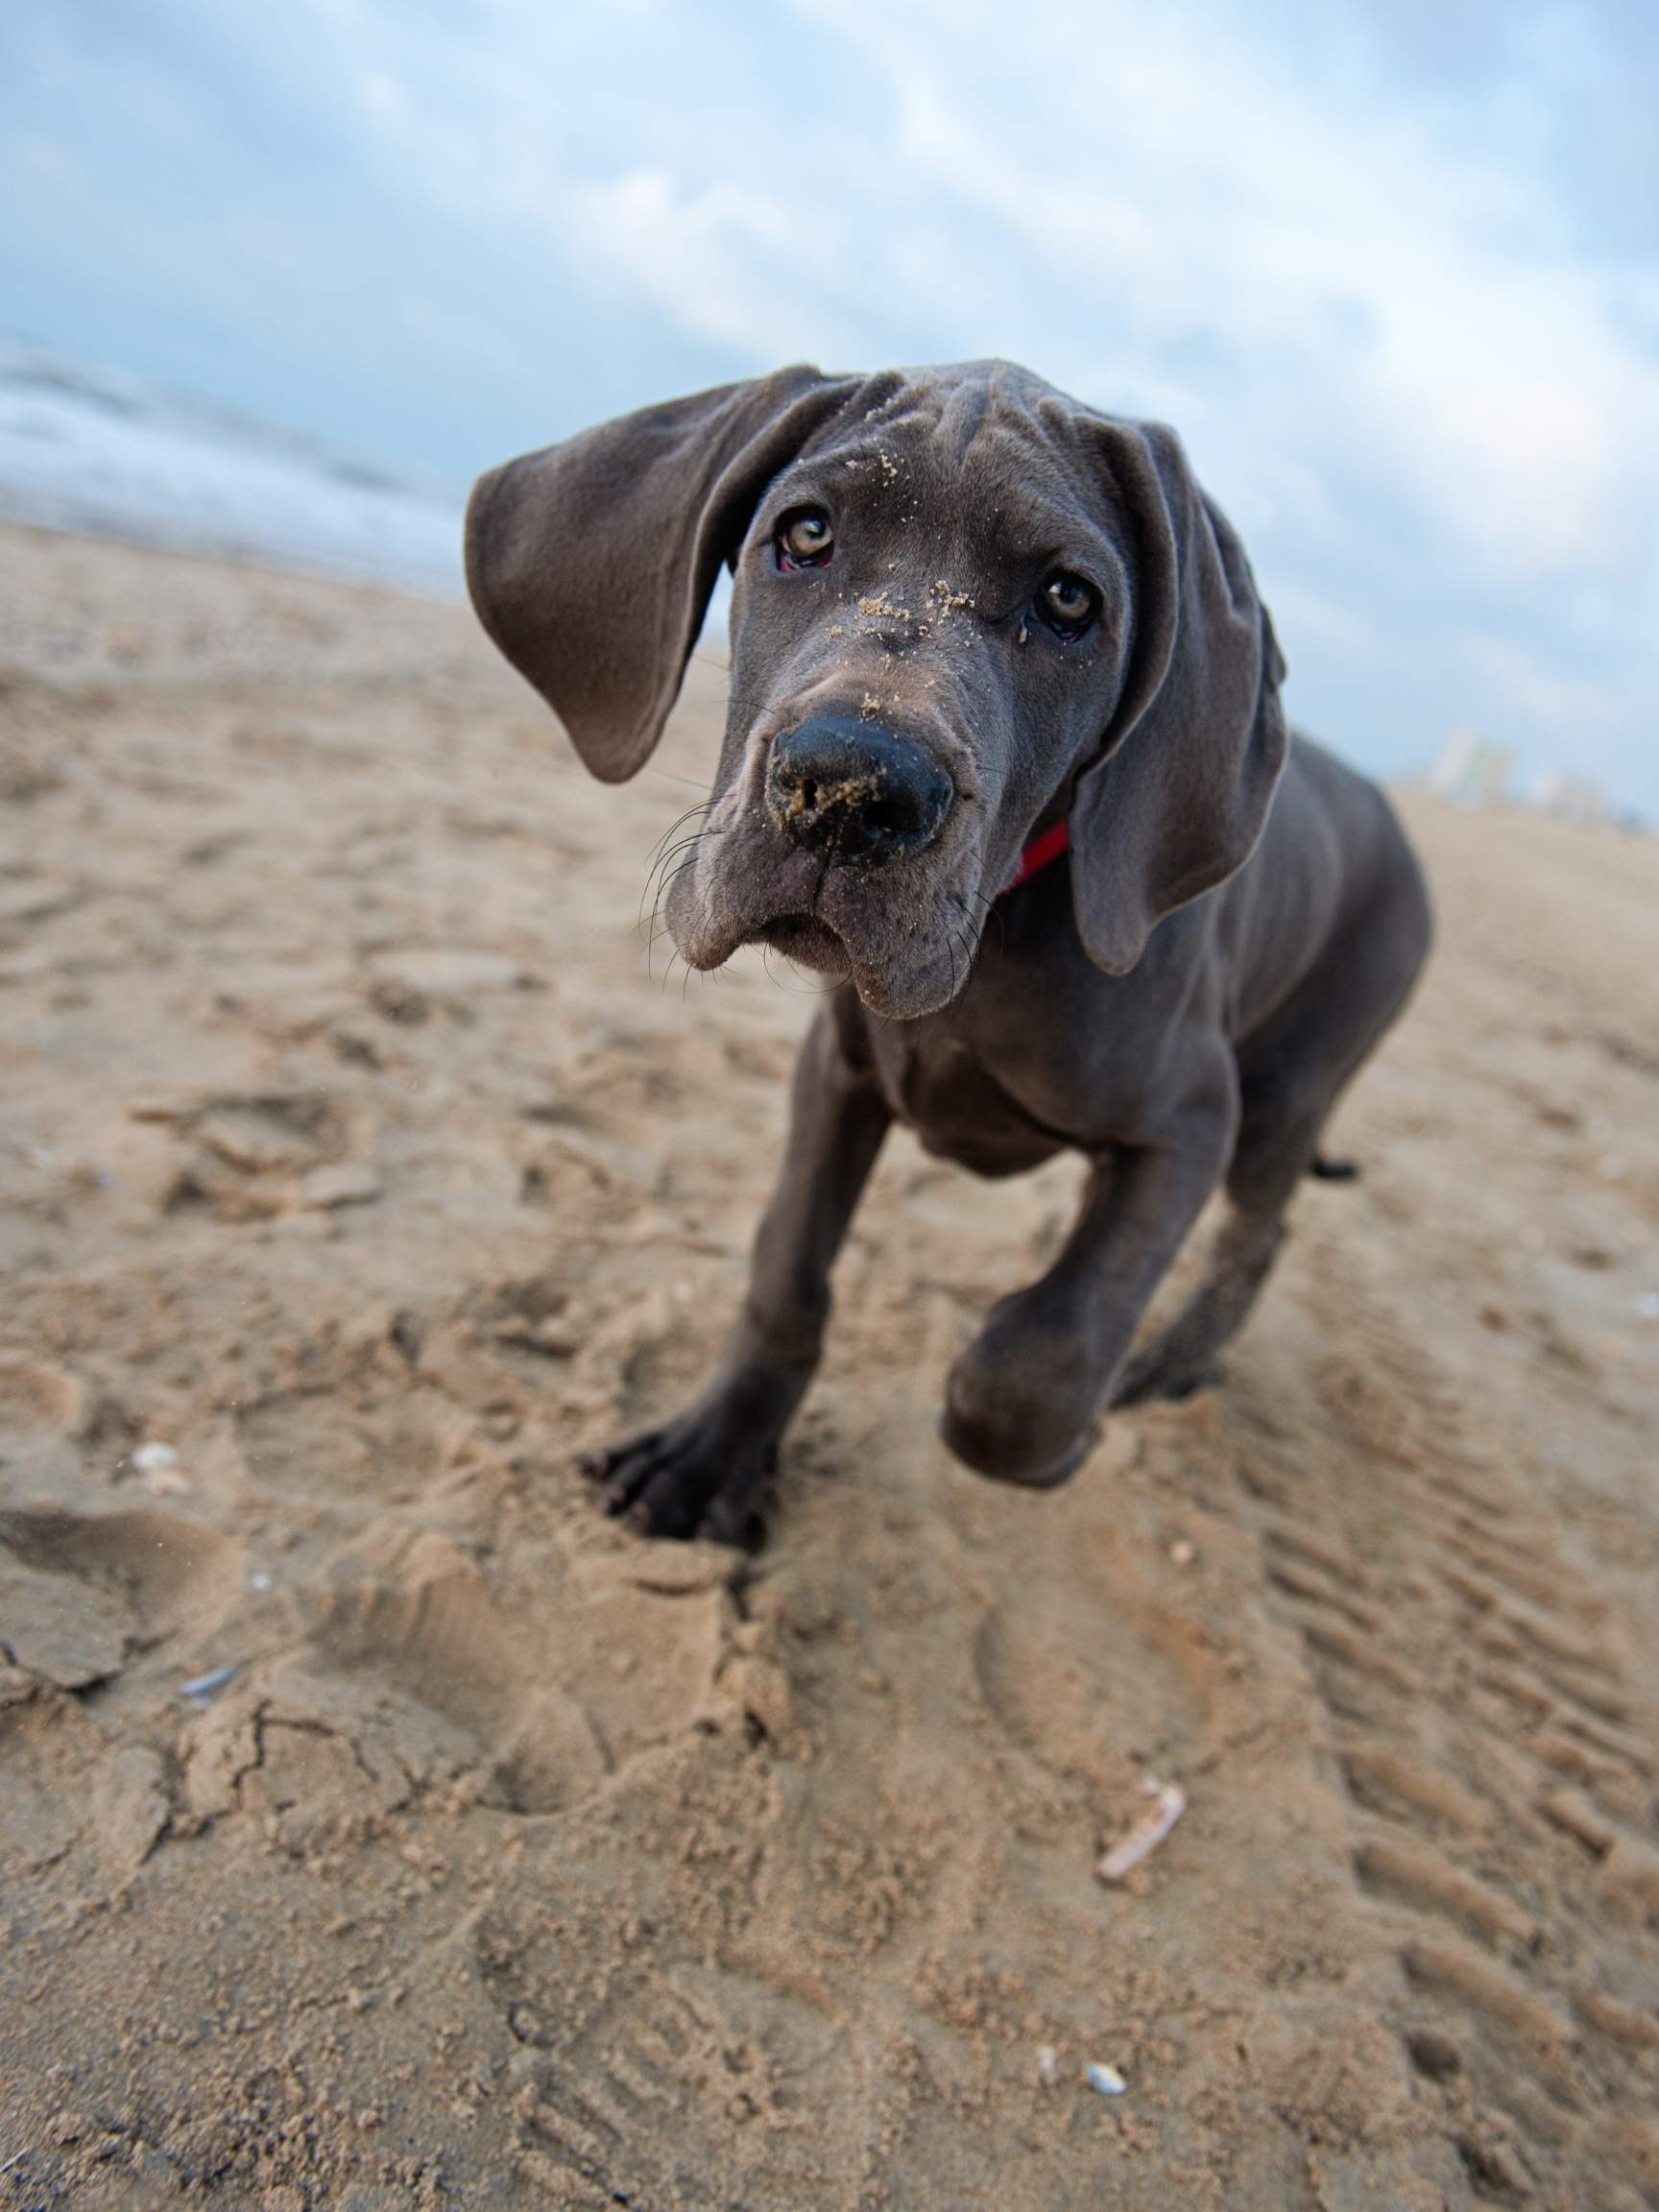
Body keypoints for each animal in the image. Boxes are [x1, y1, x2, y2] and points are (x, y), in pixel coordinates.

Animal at [464, 362, 1432, 1539]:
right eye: (807, 532)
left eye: (1069, 601)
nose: (849, 789)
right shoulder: (838, 1071)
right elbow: (787, 1267)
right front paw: (712, 1452)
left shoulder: (1190, 1117)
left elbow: (1032, 1364)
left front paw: (1063, 1439)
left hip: (1289, 1088)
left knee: (1258, 1235)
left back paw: (1166, 1364)